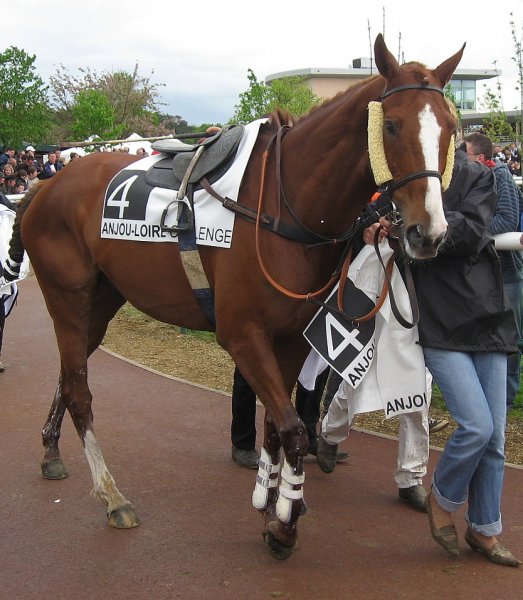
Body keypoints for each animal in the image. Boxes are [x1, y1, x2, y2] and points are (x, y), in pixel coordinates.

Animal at [5, 35, 462, 560]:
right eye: (391, 125)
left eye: (451, 128)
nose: (428, 233)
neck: (285, 205)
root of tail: (45, 185)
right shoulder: (242, 335)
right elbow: (293, 428)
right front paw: (285, 523)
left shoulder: (289, 338)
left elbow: (276, 428)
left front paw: (271, 502)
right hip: (68, 299)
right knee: (79, 391)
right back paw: (111, 495)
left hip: (99, 305)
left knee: (68, 375)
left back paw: (50, 452)